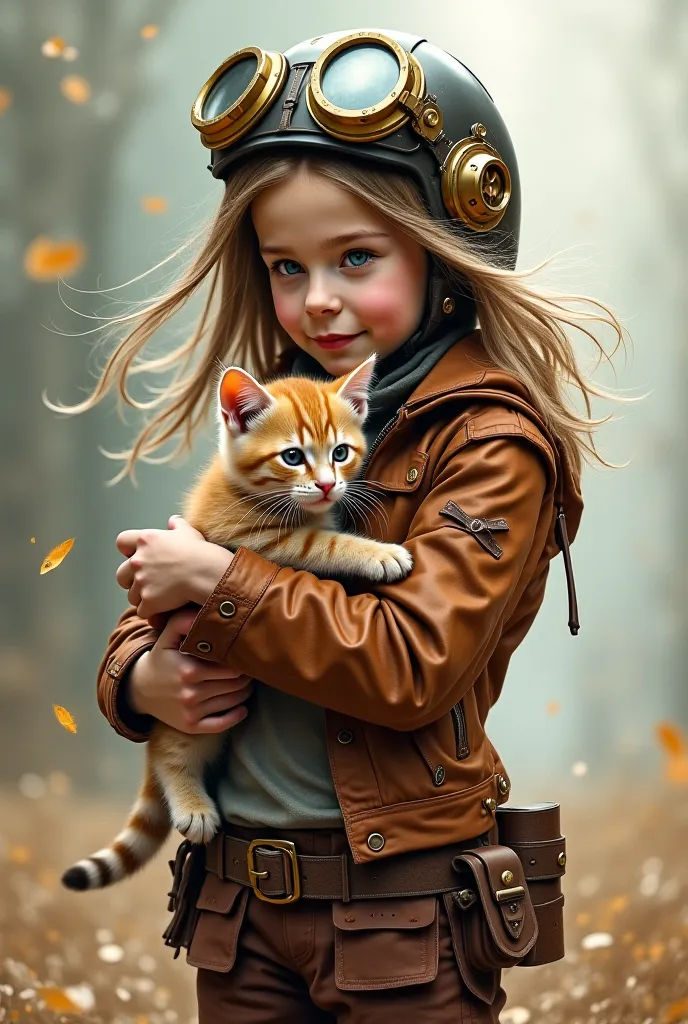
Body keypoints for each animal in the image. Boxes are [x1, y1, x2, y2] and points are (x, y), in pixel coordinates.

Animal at [61, 352, 411, 888]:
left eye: (341, 452)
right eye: (293, 457)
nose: (328, 484)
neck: (247, 490)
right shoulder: (251, 540)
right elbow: (324, 543)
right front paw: (378, 554)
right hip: (196, 718)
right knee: (169, 753)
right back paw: (190, 803)